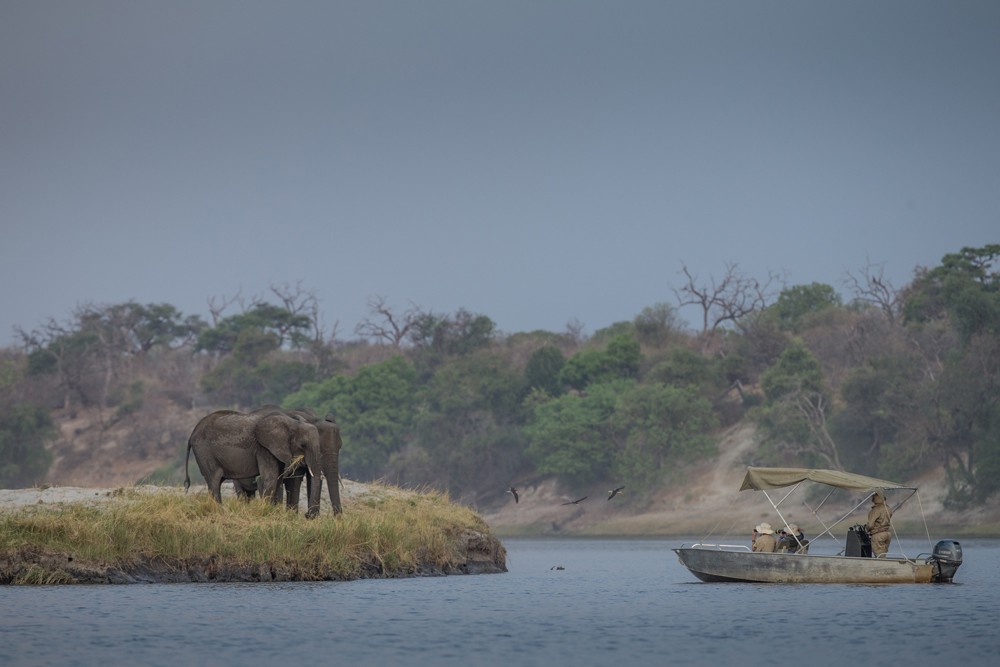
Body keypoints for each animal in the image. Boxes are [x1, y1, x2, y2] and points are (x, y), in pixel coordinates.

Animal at [180, 410, 320, 520]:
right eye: (303, 445)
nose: (307, 515)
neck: (291, 423)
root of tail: (191, 435)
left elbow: (278, 479)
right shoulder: (264, 448)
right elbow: (270, 478)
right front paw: (266, 513)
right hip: (204, 452)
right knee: (214, 481)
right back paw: (219, 512)